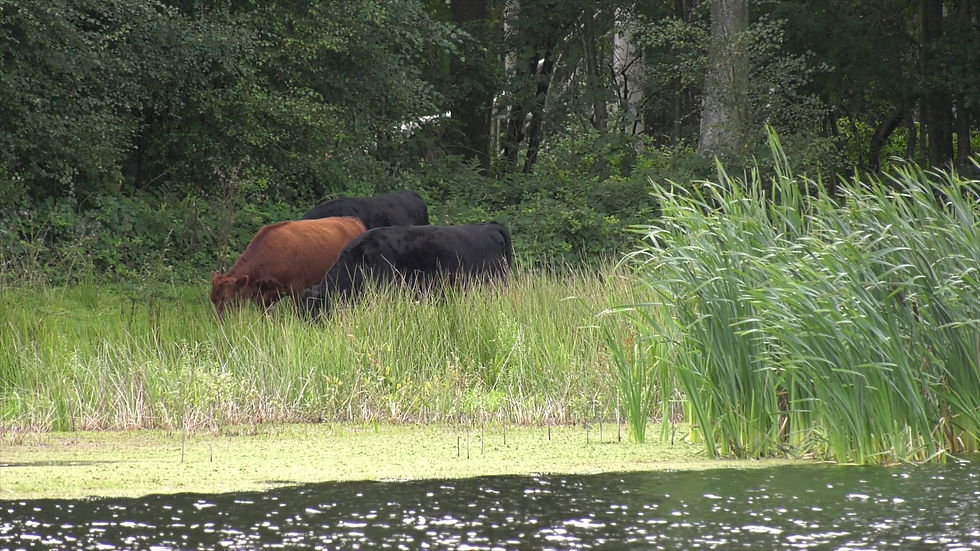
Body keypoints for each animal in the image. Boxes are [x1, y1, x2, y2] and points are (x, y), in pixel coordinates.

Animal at [210, 217, 367, 320]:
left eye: (227, 299)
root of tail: (354, 220)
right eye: (212, 299)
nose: (221, 322)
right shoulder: (265, 296)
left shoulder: (297, 288)